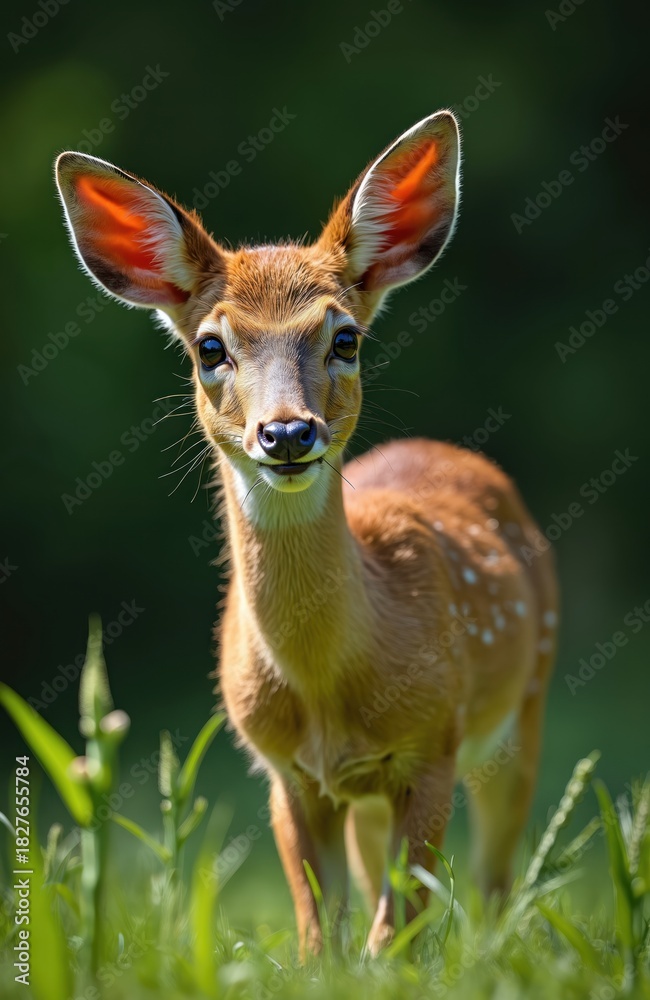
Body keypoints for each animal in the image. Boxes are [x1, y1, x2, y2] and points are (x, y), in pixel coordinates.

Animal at [55, 109, 558, 957]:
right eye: (211, 347)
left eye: (346, 338)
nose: (287, 432)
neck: (331, 682)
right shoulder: (284, 772)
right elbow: (319, 938)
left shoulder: (434, 742)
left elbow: (394, 934)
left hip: (523, 707)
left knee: (495, 885)